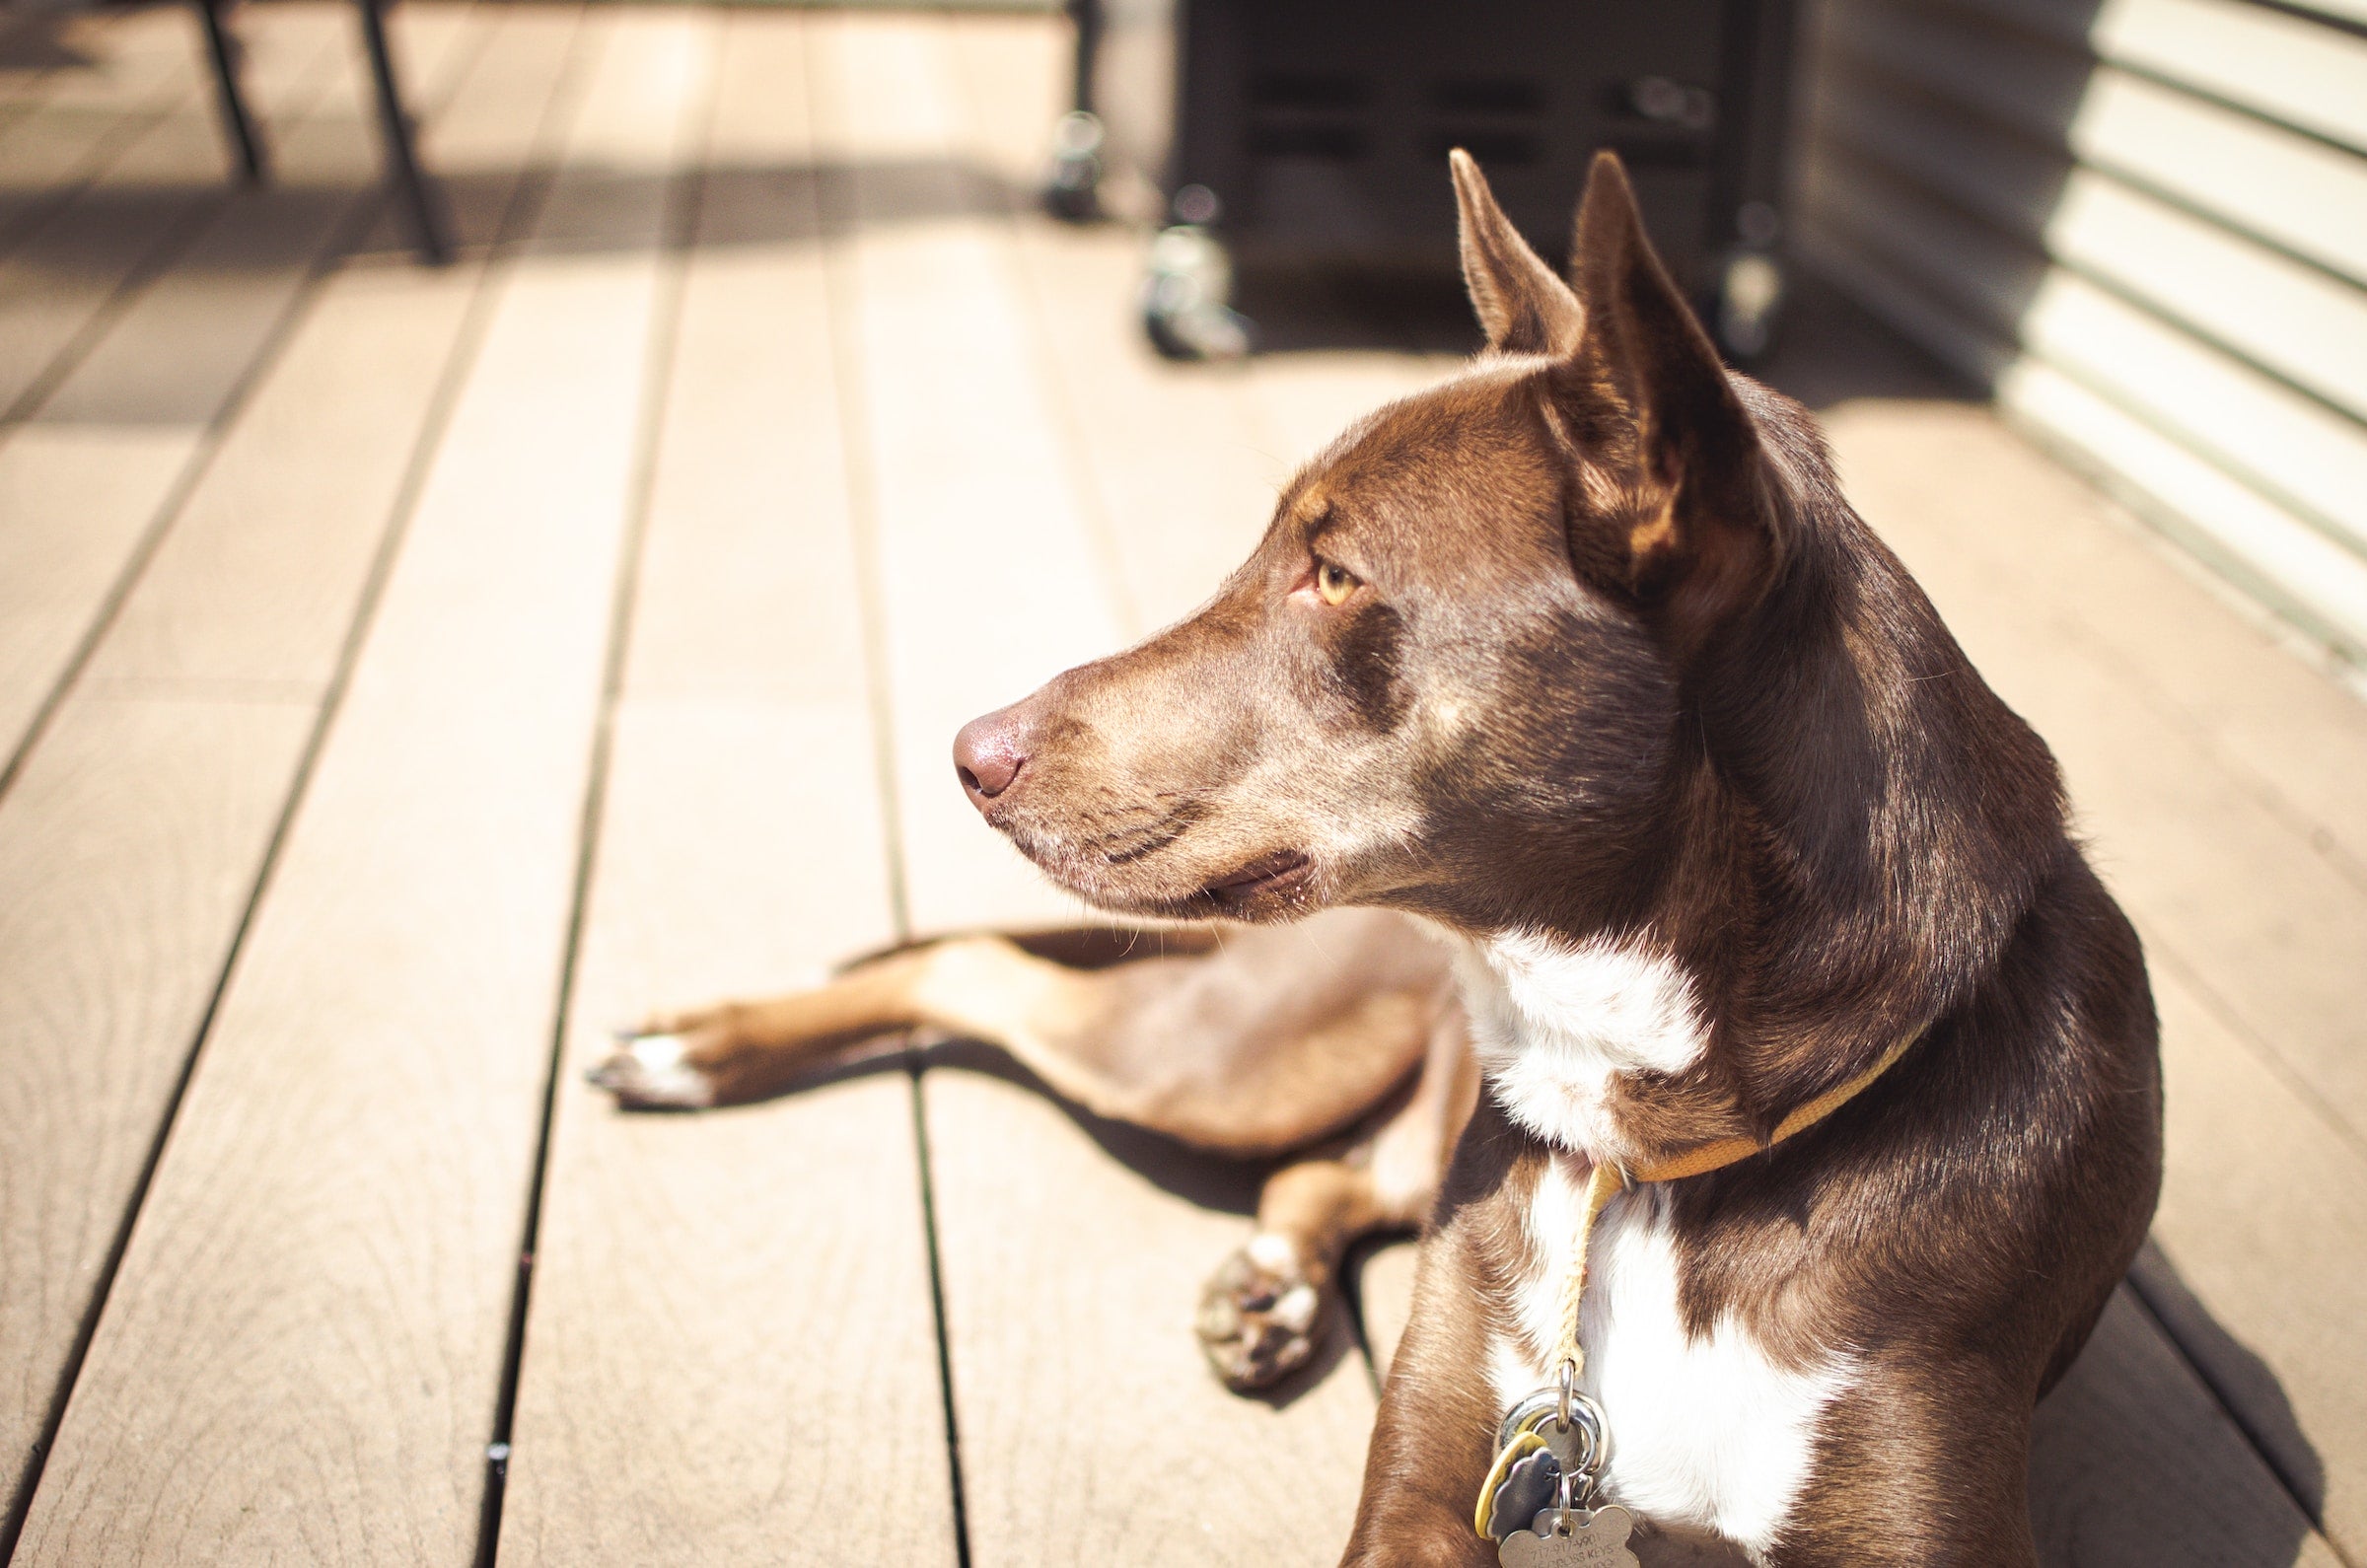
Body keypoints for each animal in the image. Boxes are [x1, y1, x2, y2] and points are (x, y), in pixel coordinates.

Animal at [596, 150, 2168, 1568]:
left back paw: (1273, 1285)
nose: (970, 754)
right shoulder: (1436, 1475)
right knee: (981, 968)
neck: (1650, 1146)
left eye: (1336, 574)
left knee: (1315, 1166)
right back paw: (695, 1050)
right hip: (1230, 1053)